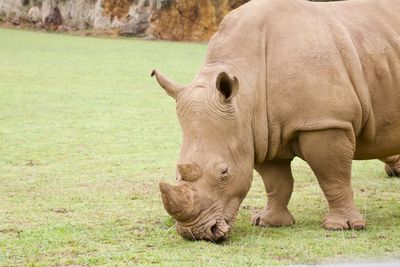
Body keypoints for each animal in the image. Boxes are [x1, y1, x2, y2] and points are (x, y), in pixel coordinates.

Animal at [151, 0, 400, 243]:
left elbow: (333, 176)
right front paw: (269, 222)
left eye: (224, 171)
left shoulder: (325, 122)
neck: (246, 96)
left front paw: (343, 227)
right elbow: (276, 181)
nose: (194, 233)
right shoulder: (259, 131)